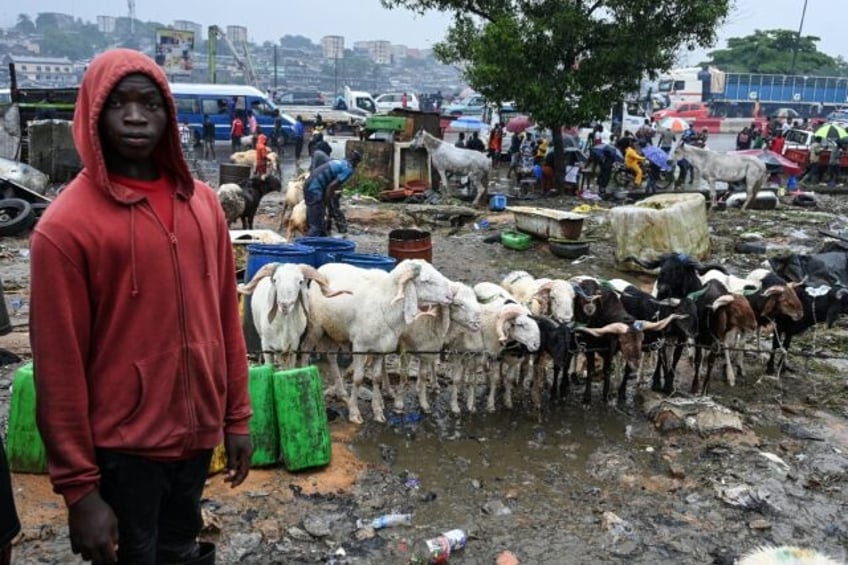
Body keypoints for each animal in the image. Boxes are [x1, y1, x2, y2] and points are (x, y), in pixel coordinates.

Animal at [304, 260, 458, 424]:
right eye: (426, 281)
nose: (450, 295)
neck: (386, 303)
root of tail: (323, 267)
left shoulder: (379, 348)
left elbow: (377, 379)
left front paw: (377, 410)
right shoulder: (360, 346)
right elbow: (358, 379)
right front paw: (354, 412)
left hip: (333, 331)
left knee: (331, 356)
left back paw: (342, 393)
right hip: (316, 327)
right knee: (306, 352)